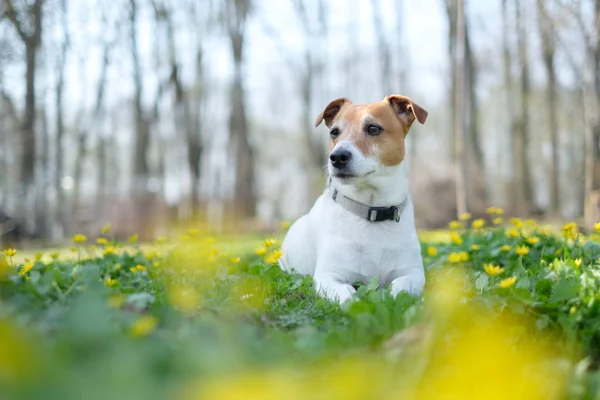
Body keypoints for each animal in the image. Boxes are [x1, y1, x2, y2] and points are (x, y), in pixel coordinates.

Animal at [280, 95, 426, 304]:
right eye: (334, 132)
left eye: (373, 128)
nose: (337, 157)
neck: (372, 209)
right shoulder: (328, 276)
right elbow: (347, 295)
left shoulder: (413, 273)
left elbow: (401, 286)